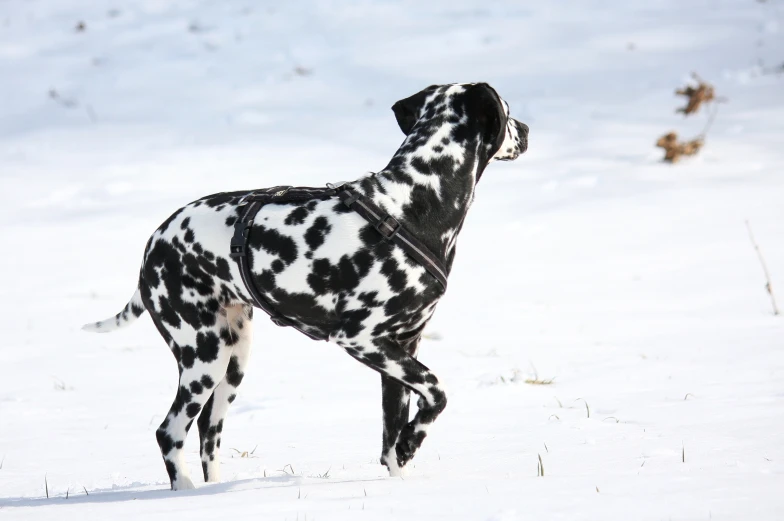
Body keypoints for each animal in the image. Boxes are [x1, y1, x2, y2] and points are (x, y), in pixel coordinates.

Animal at [84, 82, 528, 488]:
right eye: (508, 110)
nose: (526, 129)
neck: (413, 203)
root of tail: (154, 244)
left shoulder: (401, 349)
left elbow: (390, 439)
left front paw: (399, 475)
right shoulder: (363, 339)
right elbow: (437, 393)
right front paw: (410, 442)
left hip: (234, 361)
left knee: (208, 434)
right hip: (203, 357)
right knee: (170, 432)